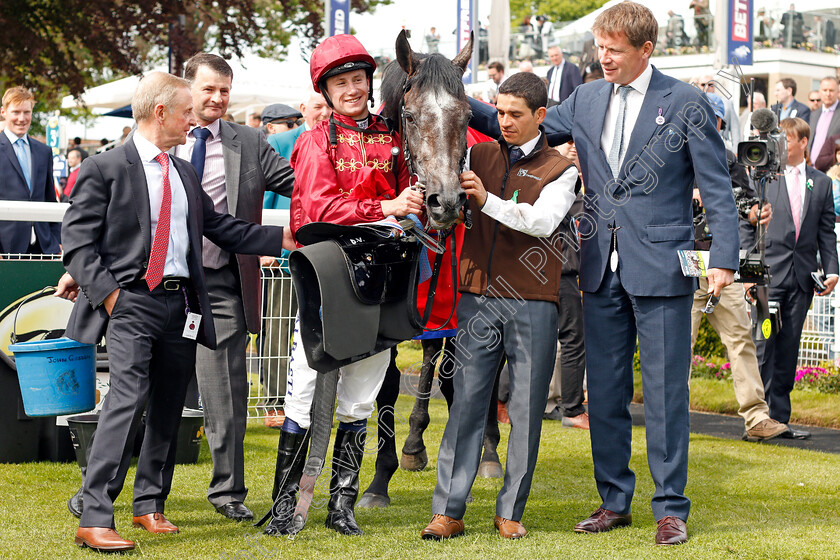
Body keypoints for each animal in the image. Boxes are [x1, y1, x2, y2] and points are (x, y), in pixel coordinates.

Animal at [356, 32, 506, 510]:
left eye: (465, 115)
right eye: (408, 114)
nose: (448, 202)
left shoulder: (457, 307)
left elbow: (459, 376)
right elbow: (389, 384)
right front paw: (381, 478)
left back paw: (488, 452)